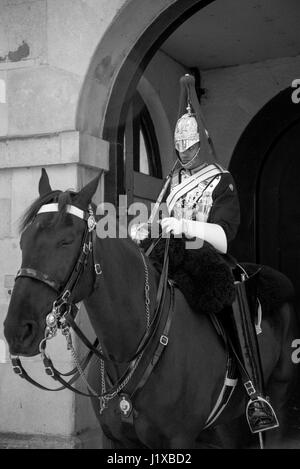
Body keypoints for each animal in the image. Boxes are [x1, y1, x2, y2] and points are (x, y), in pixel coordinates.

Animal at [2, 170, 298, 448]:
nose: (17, 330)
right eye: (24, 240)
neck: (131, 349)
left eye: (67, 241)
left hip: (280, 397)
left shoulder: (178, 439)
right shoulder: (118, 439)